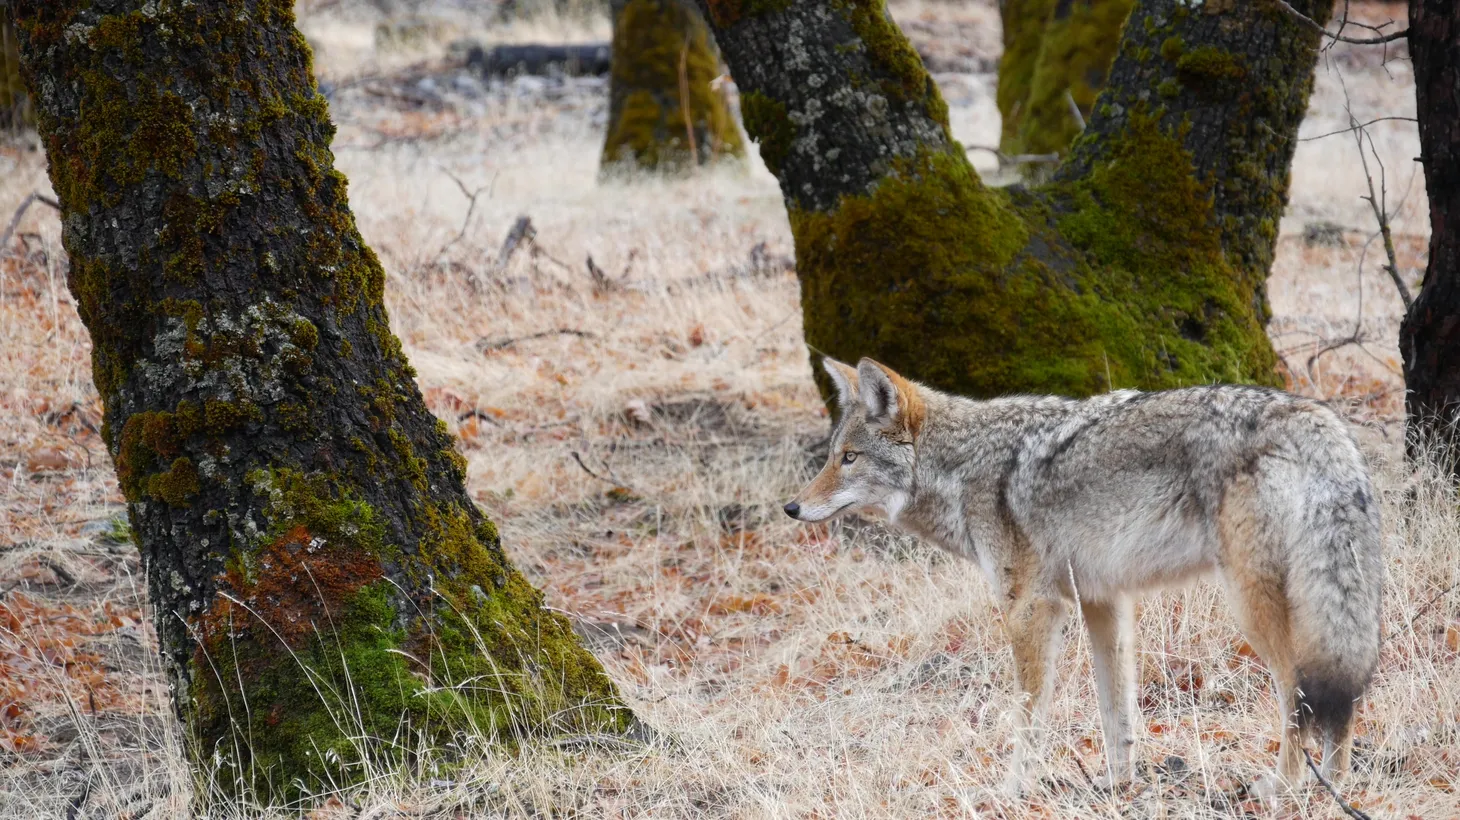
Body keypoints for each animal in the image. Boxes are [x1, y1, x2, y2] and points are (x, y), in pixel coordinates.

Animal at [788, 356, 1378, 793]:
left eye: (849, 458)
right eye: (834, 456)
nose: (792, 507)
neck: (964, 470)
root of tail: (1313, 416)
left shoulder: (1030, 608)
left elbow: (1029, 717)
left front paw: (1013, 789)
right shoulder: (1104, 603)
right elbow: (1117, 713)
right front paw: (1118, 786)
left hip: (1252, 607)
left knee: (1298, 695)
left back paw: (1285, 788)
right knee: (1339, 697)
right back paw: (1339, 787)